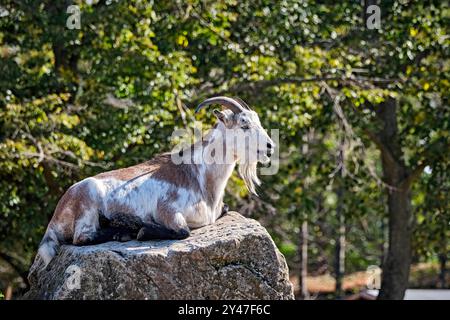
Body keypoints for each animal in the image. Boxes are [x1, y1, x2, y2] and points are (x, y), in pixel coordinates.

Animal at [36, 96, 274, 266]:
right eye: (244, 125)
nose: (270, 146)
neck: (200, 175)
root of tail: (56, 215)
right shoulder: (167, 209)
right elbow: (183, 231)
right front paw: (144, 230)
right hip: (88, 202)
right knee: (82, 238)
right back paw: (126, 229)